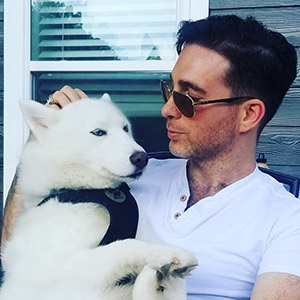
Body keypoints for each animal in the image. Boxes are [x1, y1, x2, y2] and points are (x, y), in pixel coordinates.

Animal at [0, 95, 197, 300]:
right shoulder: (60, 269)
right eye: (98, 132)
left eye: (125, 128)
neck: (88, 191)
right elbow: (123, 246)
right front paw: (166, 253)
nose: (142, 158)